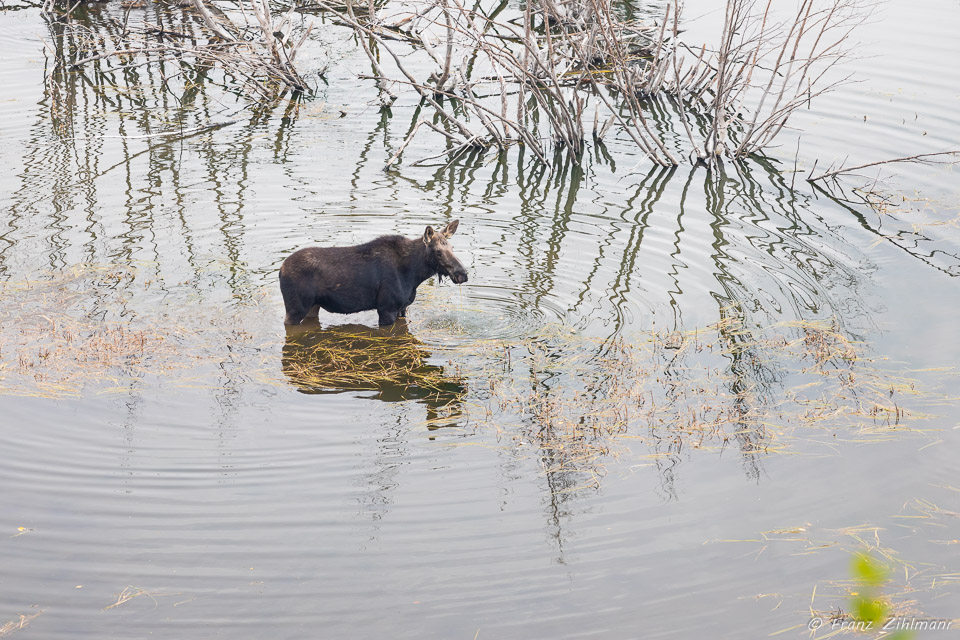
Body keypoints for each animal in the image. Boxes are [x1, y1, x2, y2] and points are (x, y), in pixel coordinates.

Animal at [280, 221, 466, 330]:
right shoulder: (386, 308)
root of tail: (280, 271)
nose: (463, 274)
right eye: (439, 252)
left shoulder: (402, 308)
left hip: (313, 306)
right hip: (295, 308)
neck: (414, 275)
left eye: (452, 247)